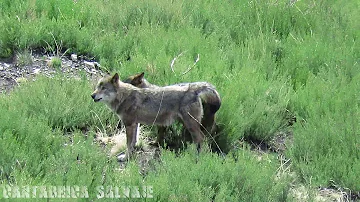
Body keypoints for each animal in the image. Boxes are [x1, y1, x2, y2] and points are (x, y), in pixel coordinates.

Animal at [91, 73, 221, 161]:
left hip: (190, 125)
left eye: (103, 88)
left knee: (200, 139)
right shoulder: (135, 124)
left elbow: (128, 144)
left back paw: (196, 158)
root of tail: (193, 89)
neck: (124, 97)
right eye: (97, 87)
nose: (92, 95)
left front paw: (125, 158)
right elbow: (133, 142)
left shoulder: (129, 124)